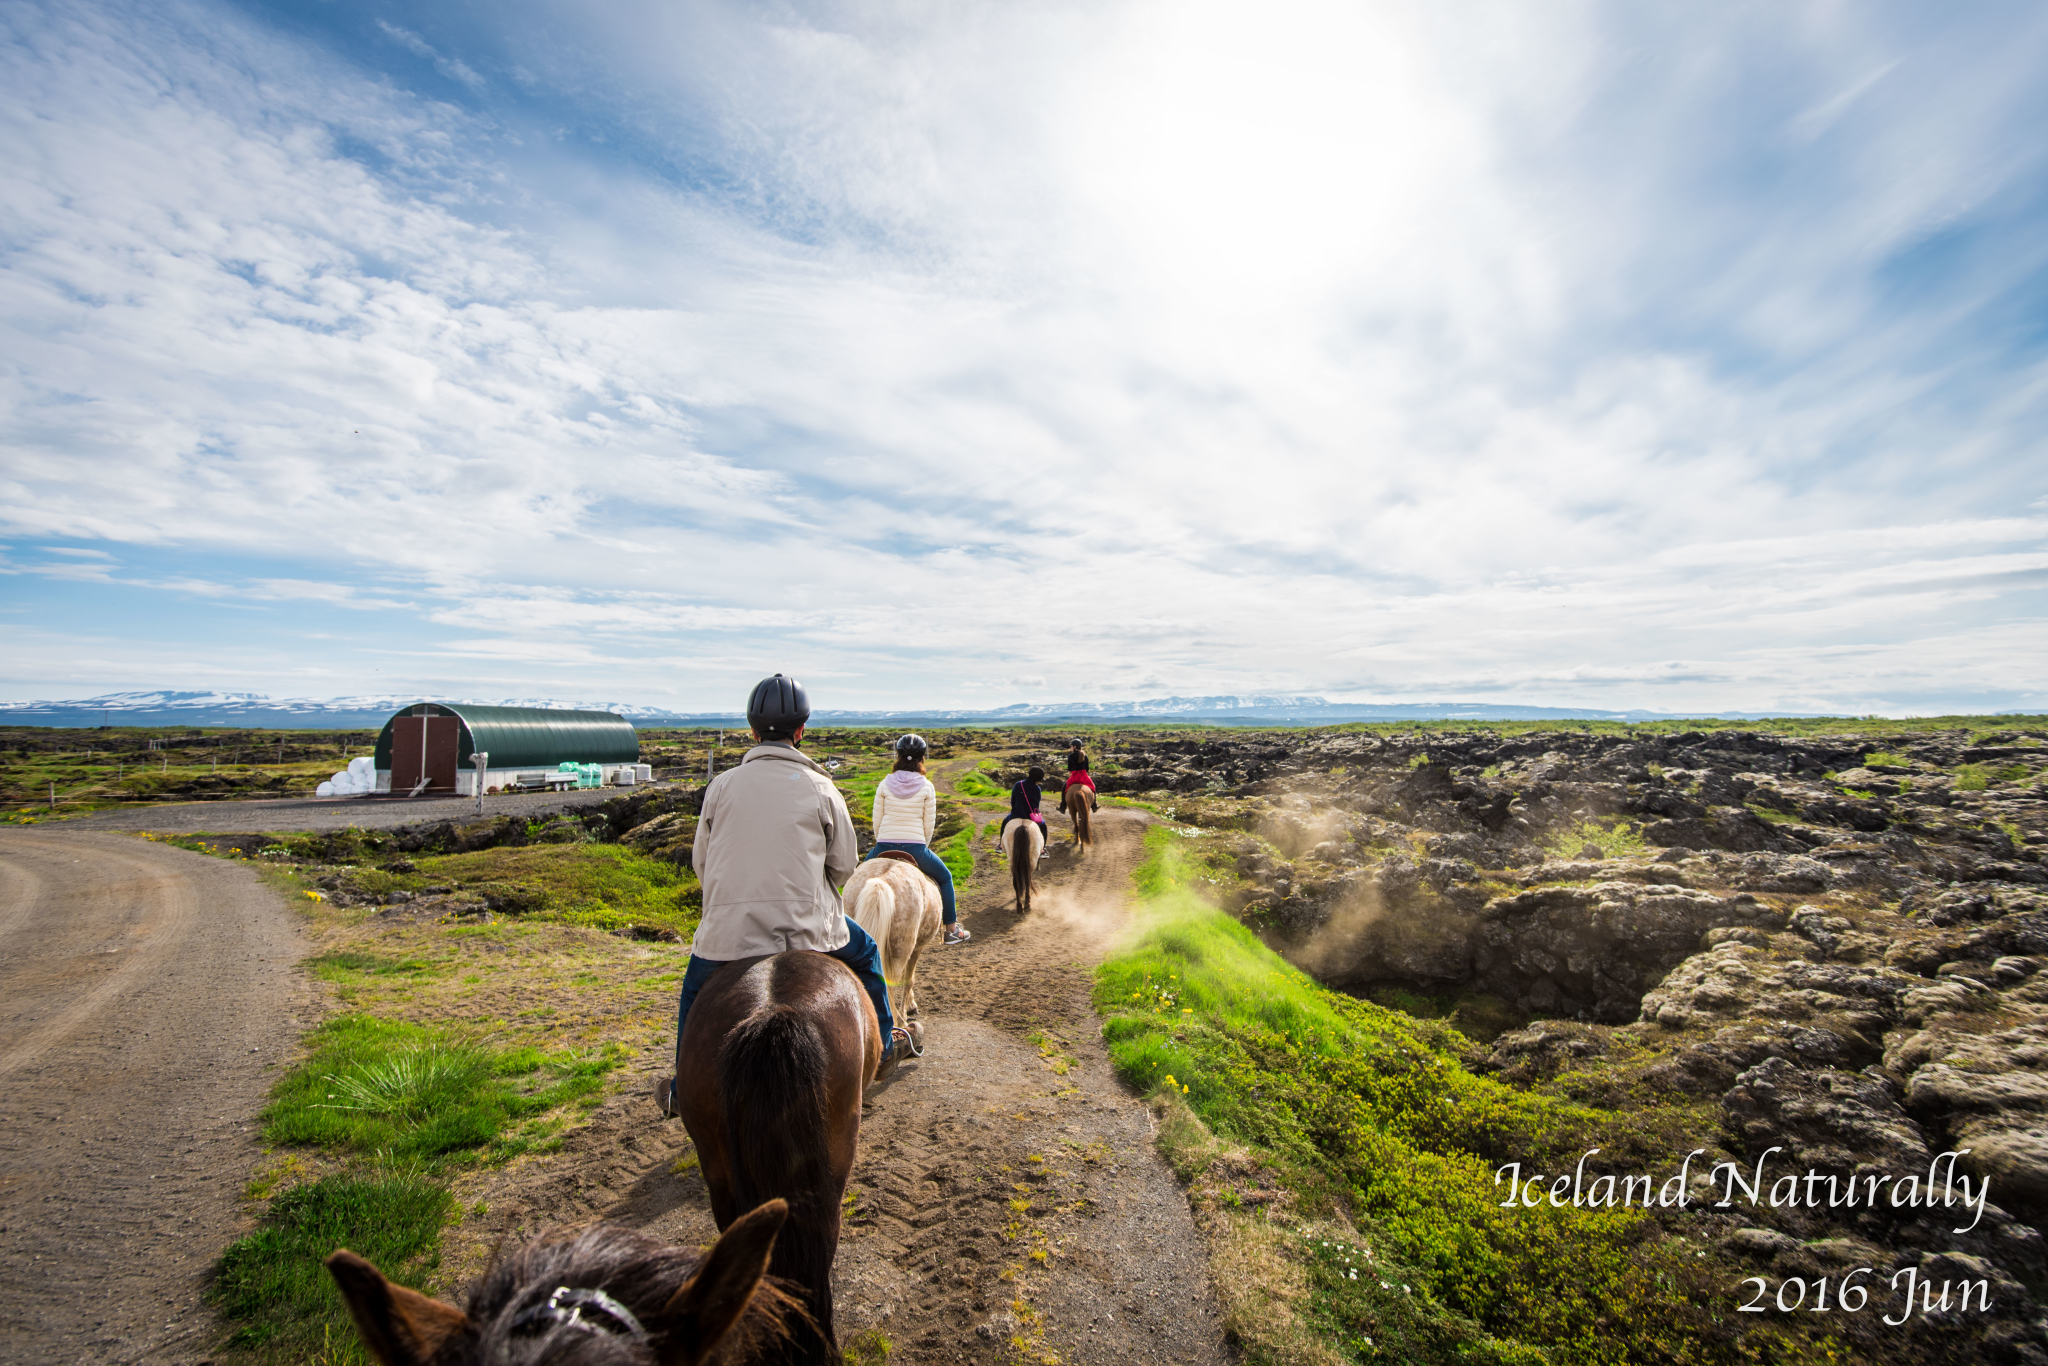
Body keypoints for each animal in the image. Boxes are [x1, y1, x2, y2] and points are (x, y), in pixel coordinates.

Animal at [839, 860, 942, 1019]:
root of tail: (881, 881)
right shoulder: (917, 949)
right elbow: (909, 979)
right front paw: (909, 1008)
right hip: (900, 952)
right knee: (891, 985)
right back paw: (900, 1020)